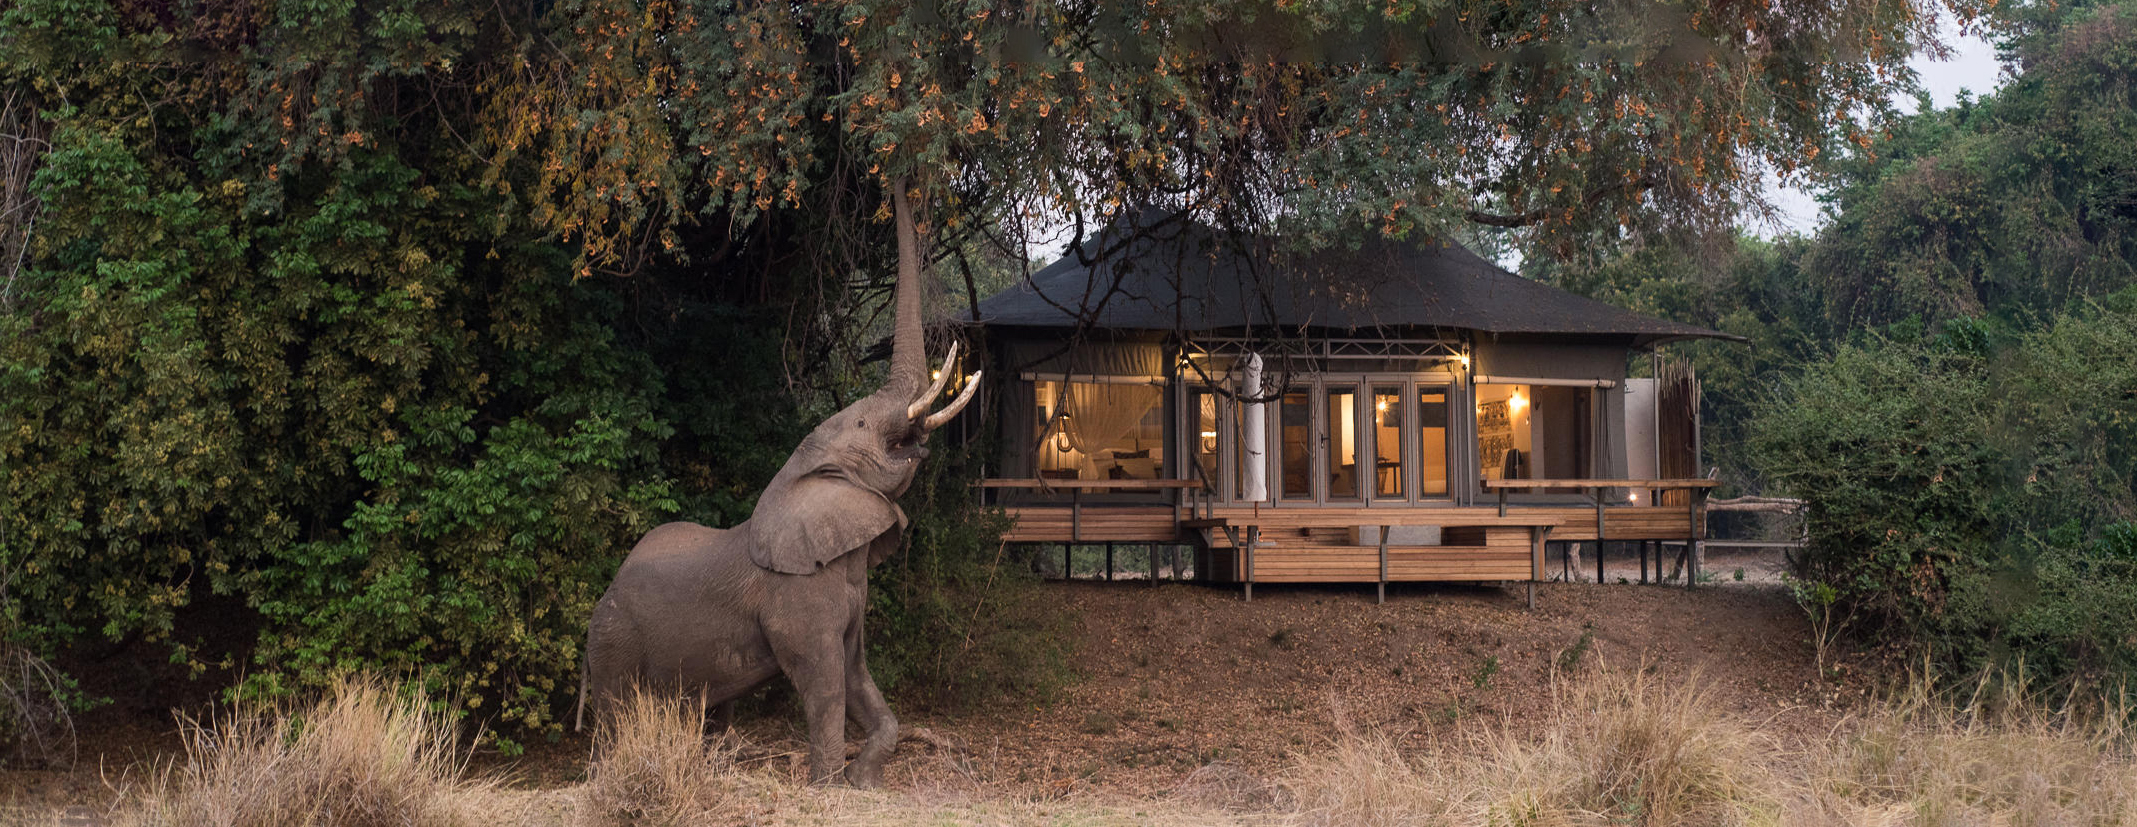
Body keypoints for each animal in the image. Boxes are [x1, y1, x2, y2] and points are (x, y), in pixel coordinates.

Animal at [575, 187, 978, 788]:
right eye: (862, 423)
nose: (899, 180)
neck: (802, 473)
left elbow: (856, 673)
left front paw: (863, 781)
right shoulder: (797, 598)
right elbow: (824, 680)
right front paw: (827, 786)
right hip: (614, 641)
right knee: (617, 716)